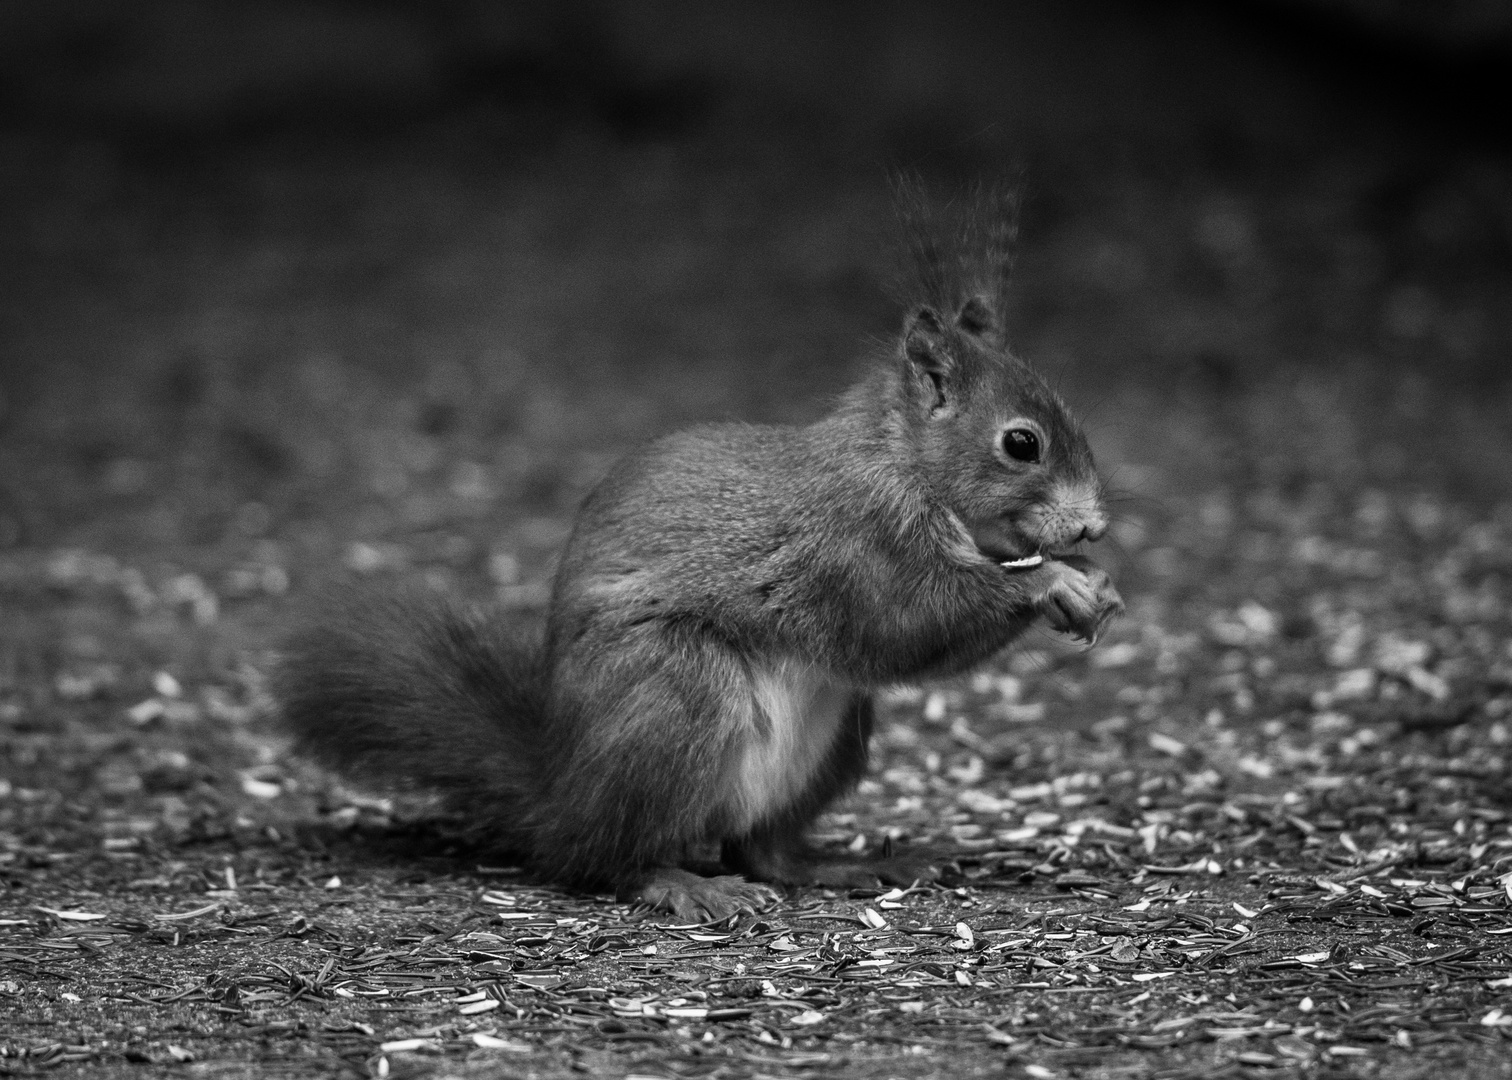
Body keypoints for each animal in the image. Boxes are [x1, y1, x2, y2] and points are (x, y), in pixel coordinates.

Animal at [275, 183, 1124, 919]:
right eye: (1022, 444)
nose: (1093, 528)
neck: (900, 463)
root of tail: (559, 792)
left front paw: (1094, 581)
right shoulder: (856, 546)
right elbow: (909, 623)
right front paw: (1057, 583)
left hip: (835, 737)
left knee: (762, 850)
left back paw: (842, 866)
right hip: (675, 695)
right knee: (607, 860)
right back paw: (681, 883)